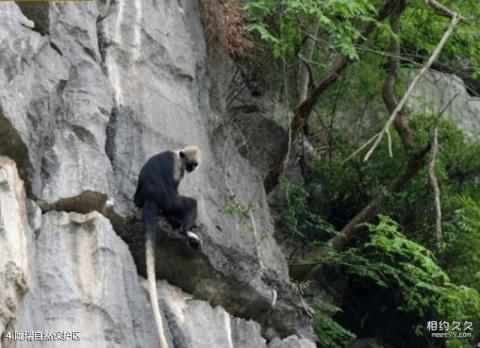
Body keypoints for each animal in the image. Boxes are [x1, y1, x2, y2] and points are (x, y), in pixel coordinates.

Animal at [134, 145, 202, 348]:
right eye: (190, 164)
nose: (192, 169)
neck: (178, 153)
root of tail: (150, 196)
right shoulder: (178, 168)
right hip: (169, 201)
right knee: (188, 203)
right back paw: (185, 230)